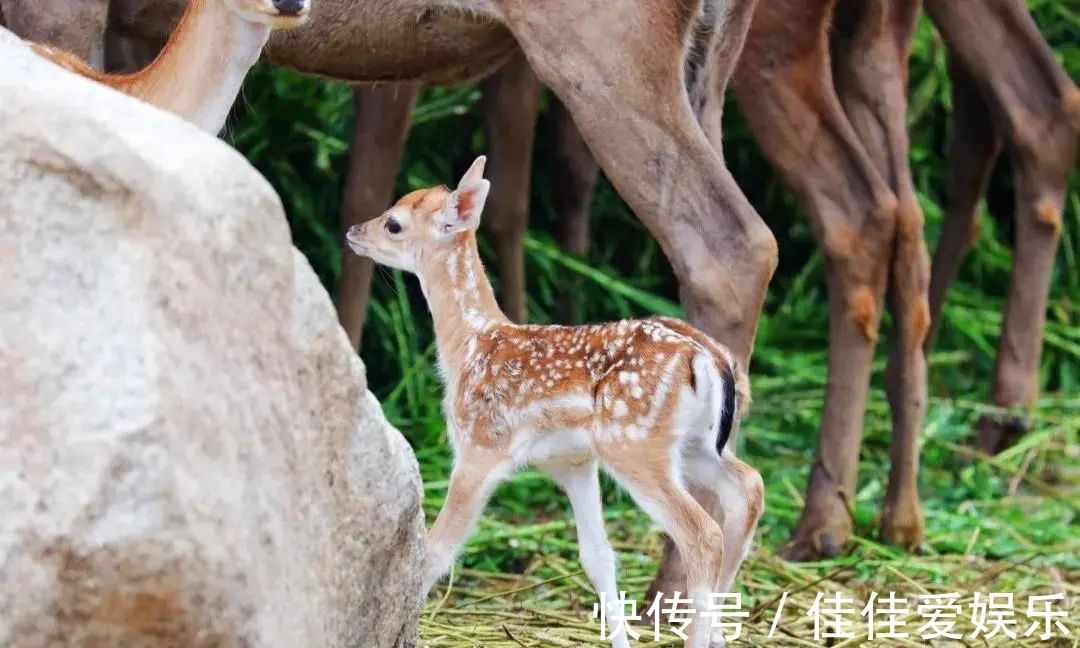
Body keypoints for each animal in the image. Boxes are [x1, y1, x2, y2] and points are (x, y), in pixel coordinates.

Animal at [347, 156, 768, 648]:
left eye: (393, 223)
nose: (354, 230)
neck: (470, 345)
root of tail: (707, 358)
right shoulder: (572, 463)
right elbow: (597, 558)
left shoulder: (479, 448)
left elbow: (436, 551)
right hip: (697, 446)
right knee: (748, 487)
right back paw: (721, 627)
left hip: (635, 445)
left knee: (702, 532)